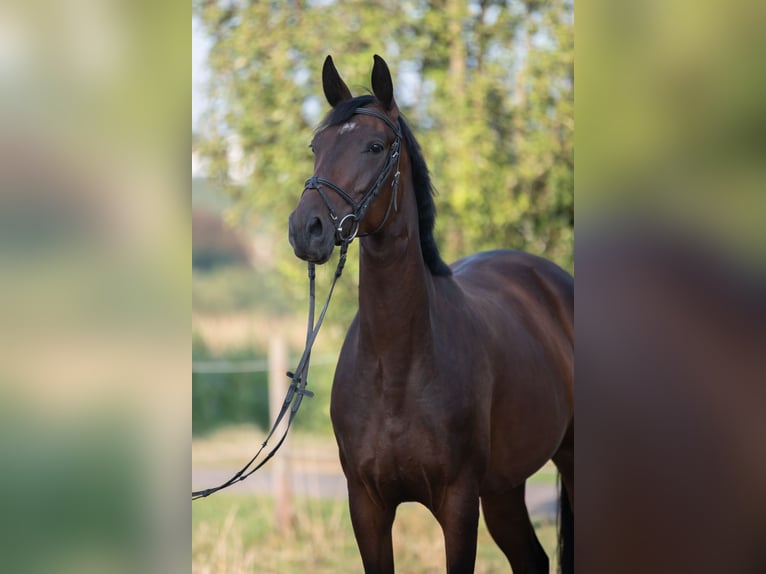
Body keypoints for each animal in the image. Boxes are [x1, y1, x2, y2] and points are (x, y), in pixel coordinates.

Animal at [290, 55, 576, 574]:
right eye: (316, 146)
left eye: (374, 146)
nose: (306, 229)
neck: (398, 368)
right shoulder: (367, 506)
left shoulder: (458, 503)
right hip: (504, 487)